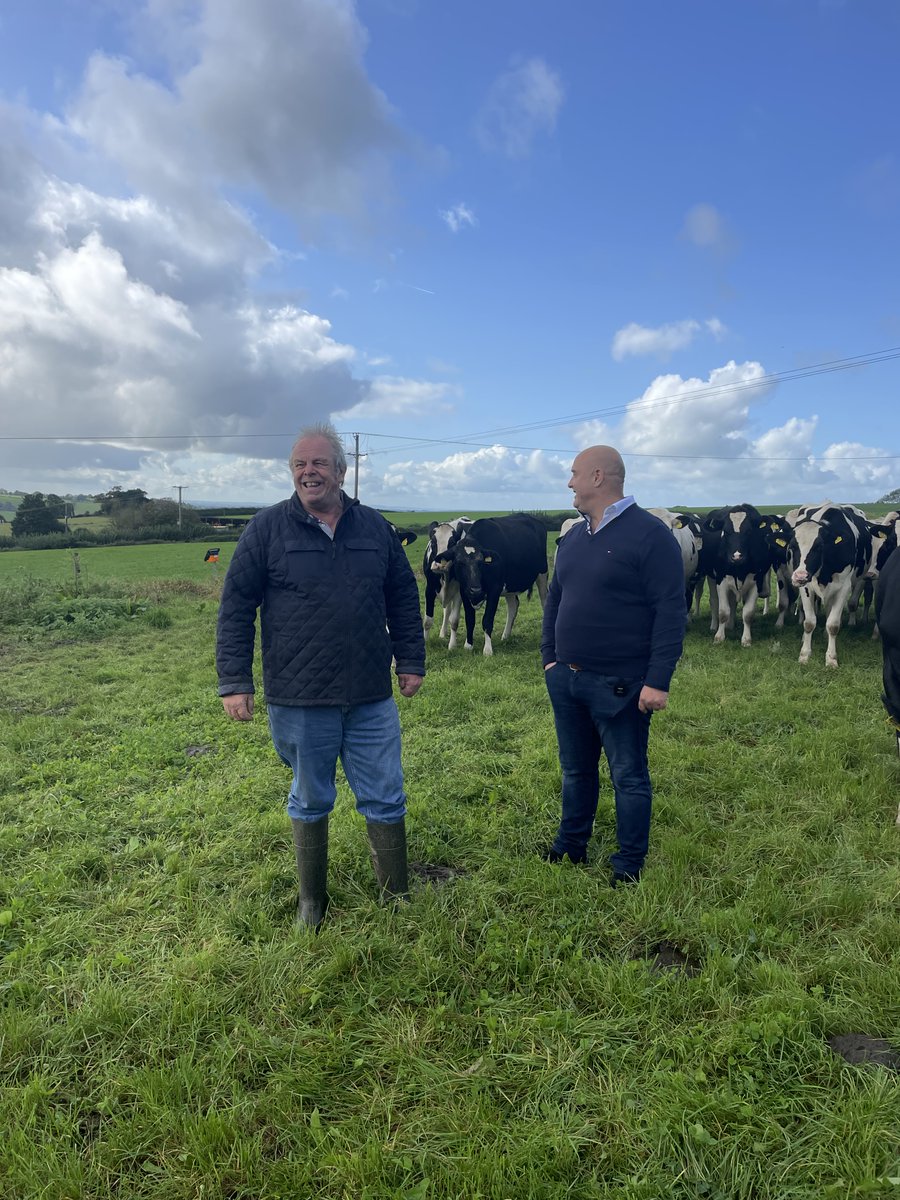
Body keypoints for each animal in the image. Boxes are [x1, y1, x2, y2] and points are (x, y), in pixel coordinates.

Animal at [424, 516, 475, 648]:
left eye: (452, 543)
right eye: (433, 543)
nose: (440, 565)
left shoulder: (459, 592)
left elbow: (454, 620)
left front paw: (452, 645)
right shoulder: (429, 588)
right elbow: (427, 620)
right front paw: (425, 642)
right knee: (446, 610)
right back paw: (442, 633)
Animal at [441, 508, 549, 657]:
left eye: (481, 563)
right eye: (459, 563)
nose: (475, 589)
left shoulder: (494, 589)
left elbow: (487, 619)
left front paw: (487, 650)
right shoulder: (464, 590)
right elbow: (470, 618)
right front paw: (468, 645)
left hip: (542, 574)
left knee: (544, 602)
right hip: (510, 583)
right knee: (513, 605)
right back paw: (506, 636)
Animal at [700, 501, 772, 648]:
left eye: (749, 531)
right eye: (726, 532)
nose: (737, 556)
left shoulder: (756, 582)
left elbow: (748, 613)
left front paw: (746, 639)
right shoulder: (721, 580)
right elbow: (723, 611)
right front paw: (719, 637)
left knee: (733, 602)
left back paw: (730, 625)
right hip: (711, 578)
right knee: (714, 601)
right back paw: (714, 626)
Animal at [792, 496, 878, 667]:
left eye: (819, 546)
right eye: (792, 546)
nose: (799, 576)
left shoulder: (843, 587)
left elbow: (833, 624)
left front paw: (831, 658)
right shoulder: (806, 587)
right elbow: (809, 622)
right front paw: (804, 655)